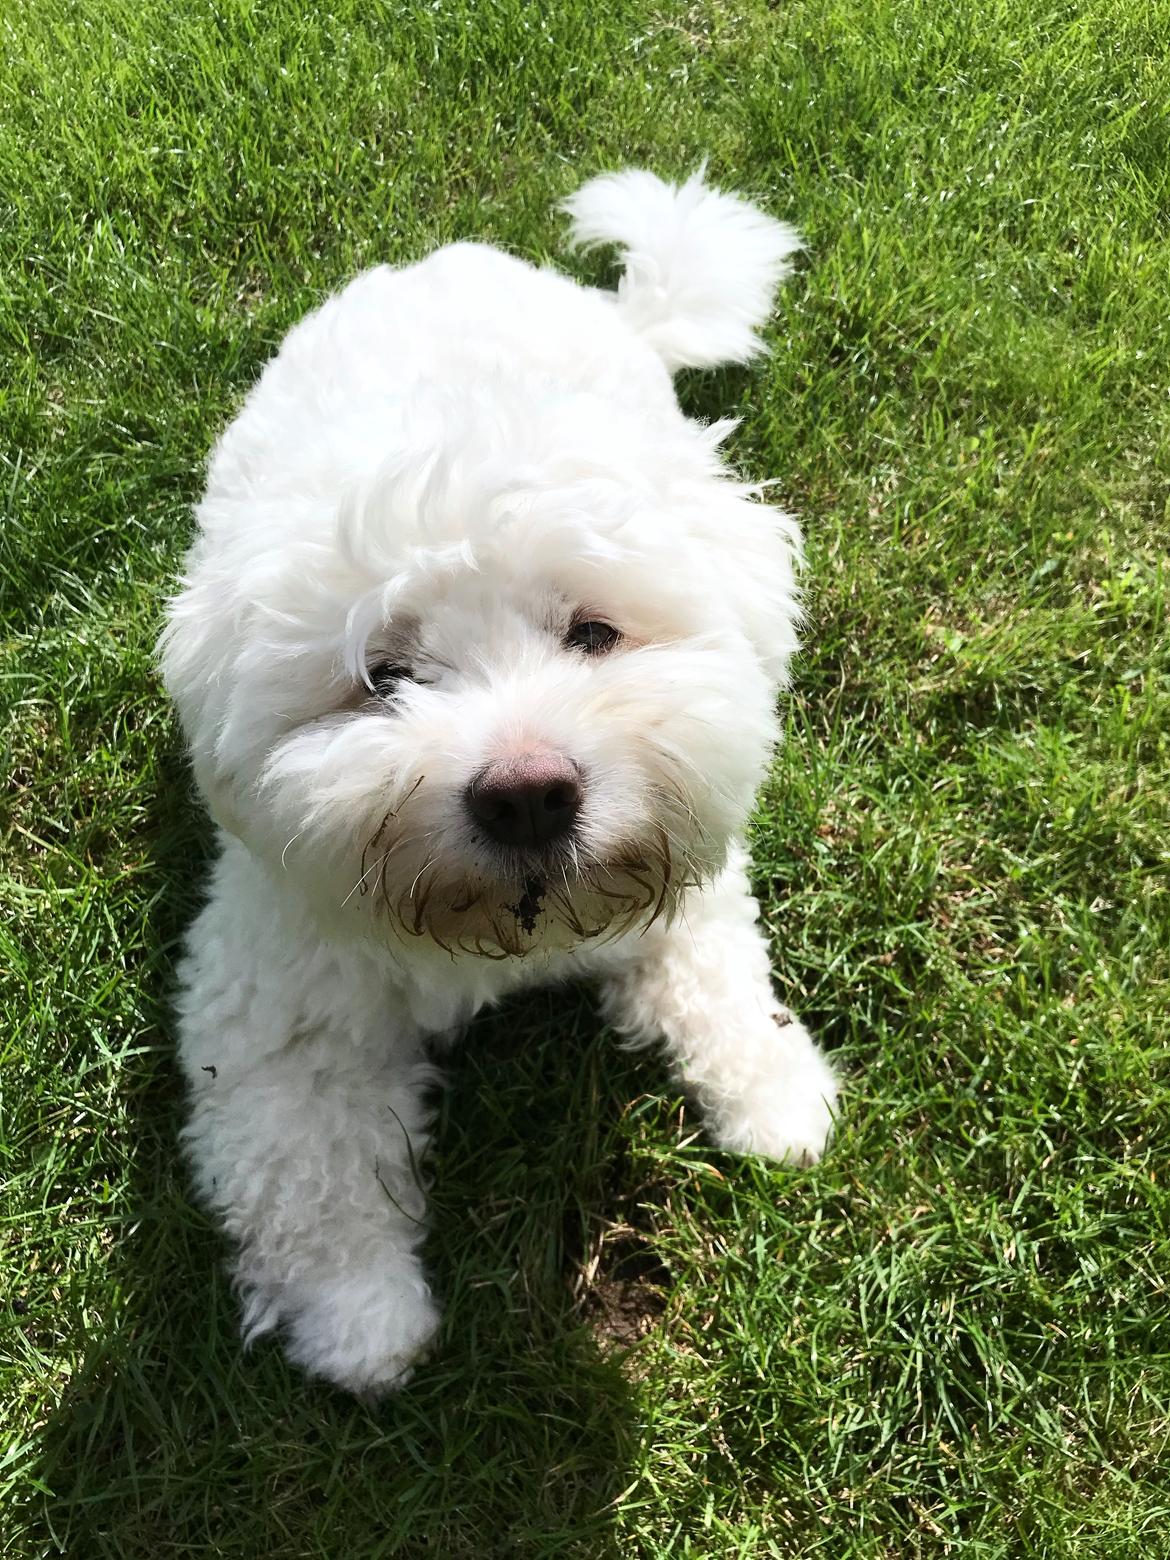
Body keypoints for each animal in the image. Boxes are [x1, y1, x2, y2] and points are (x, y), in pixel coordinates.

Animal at [163, 167, 842, 1391]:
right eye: (382, 678)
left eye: (595, 633)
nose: (528, 792)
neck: (514, 929)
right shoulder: (277, 999)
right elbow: (308, 1174)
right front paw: (361, 1323)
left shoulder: (685, 868)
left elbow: (719, 973)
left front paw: (773, 1094)